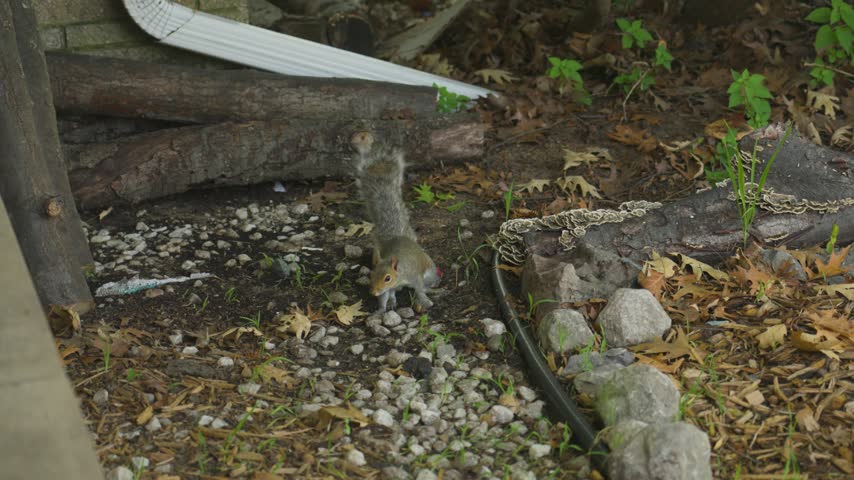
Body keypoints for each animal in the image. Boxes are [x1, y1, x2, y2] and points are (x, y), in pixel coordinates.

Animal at [351, 131, 441, 314]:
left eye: (387, 278)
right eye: (371, 275)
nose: (373, 292)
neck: (399, 276)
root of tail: (398, 236)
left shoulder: (414, 276)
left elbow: (419, 289)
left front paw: (424, 300)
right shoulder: (388, 288)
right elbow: (385, 296)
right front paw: (380, 309)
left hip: (429, 270)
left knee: (426, 283)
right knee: (393, 293)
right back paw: (392, 301)